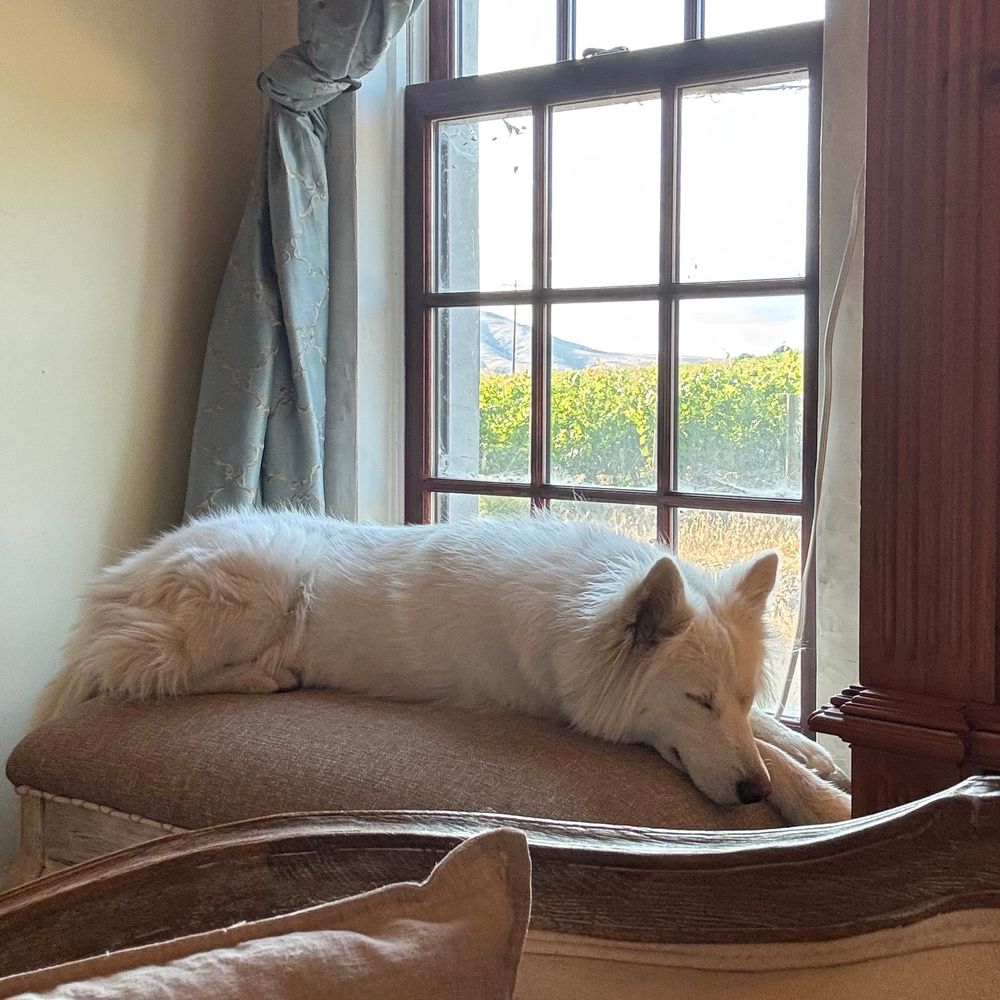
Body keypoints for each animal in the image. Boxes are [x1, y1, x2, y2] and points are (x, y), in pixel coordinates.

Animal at [32, 509, 850, 825]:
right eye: (696, 701)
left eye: (734, 699)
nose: (749, 794)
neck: (578, 608)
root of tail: (114, 584)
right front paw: (817, 797)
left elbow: (775, 737)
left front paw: (812, 758)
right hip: (265, 584)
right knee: (138, 668)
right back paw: (266, 675)